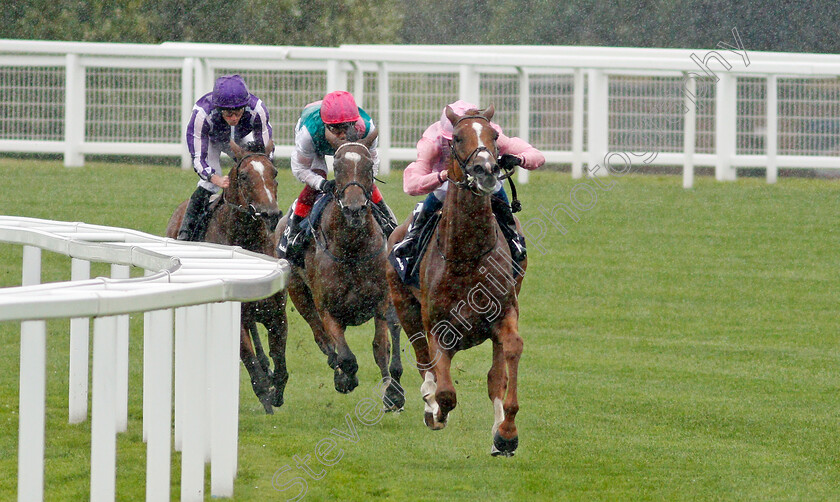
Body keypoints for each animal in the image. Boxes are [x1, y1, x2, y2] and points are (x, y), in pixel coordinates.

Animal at [166, 139, 290, 414]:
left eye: (274, 173)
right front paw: (268, 400)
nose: (270, 214)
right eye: (244, 176)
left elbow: (280, 367)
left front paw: (276, 391)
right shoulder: (237, 317)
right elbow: (254, 371)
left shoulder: (277, 313)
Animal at [274, 129, 406, 412]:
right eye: (337, 164)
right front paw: (345, 378)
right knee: (322, 338)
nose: (354, 209)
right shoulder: (327, 309)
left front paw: (393, 393)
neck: (352, 249)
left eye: (367, 165)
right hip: (299, 294)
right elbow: (345, 355)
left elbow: (381, 347)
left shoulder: (381, 300)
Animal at [386, 104, 524, 456]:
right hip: (405, 307)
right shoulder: (437, 325)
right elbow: (445, 391)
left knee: (494, 375)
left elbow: (508, 358)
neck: (467, 255)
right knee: (423, 361)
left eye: (495, 136)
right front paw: (436, 411)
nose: (485, 169)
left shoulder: (504, 313)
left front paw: (506, 433)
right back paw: (429, 402)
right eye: (458, 137)